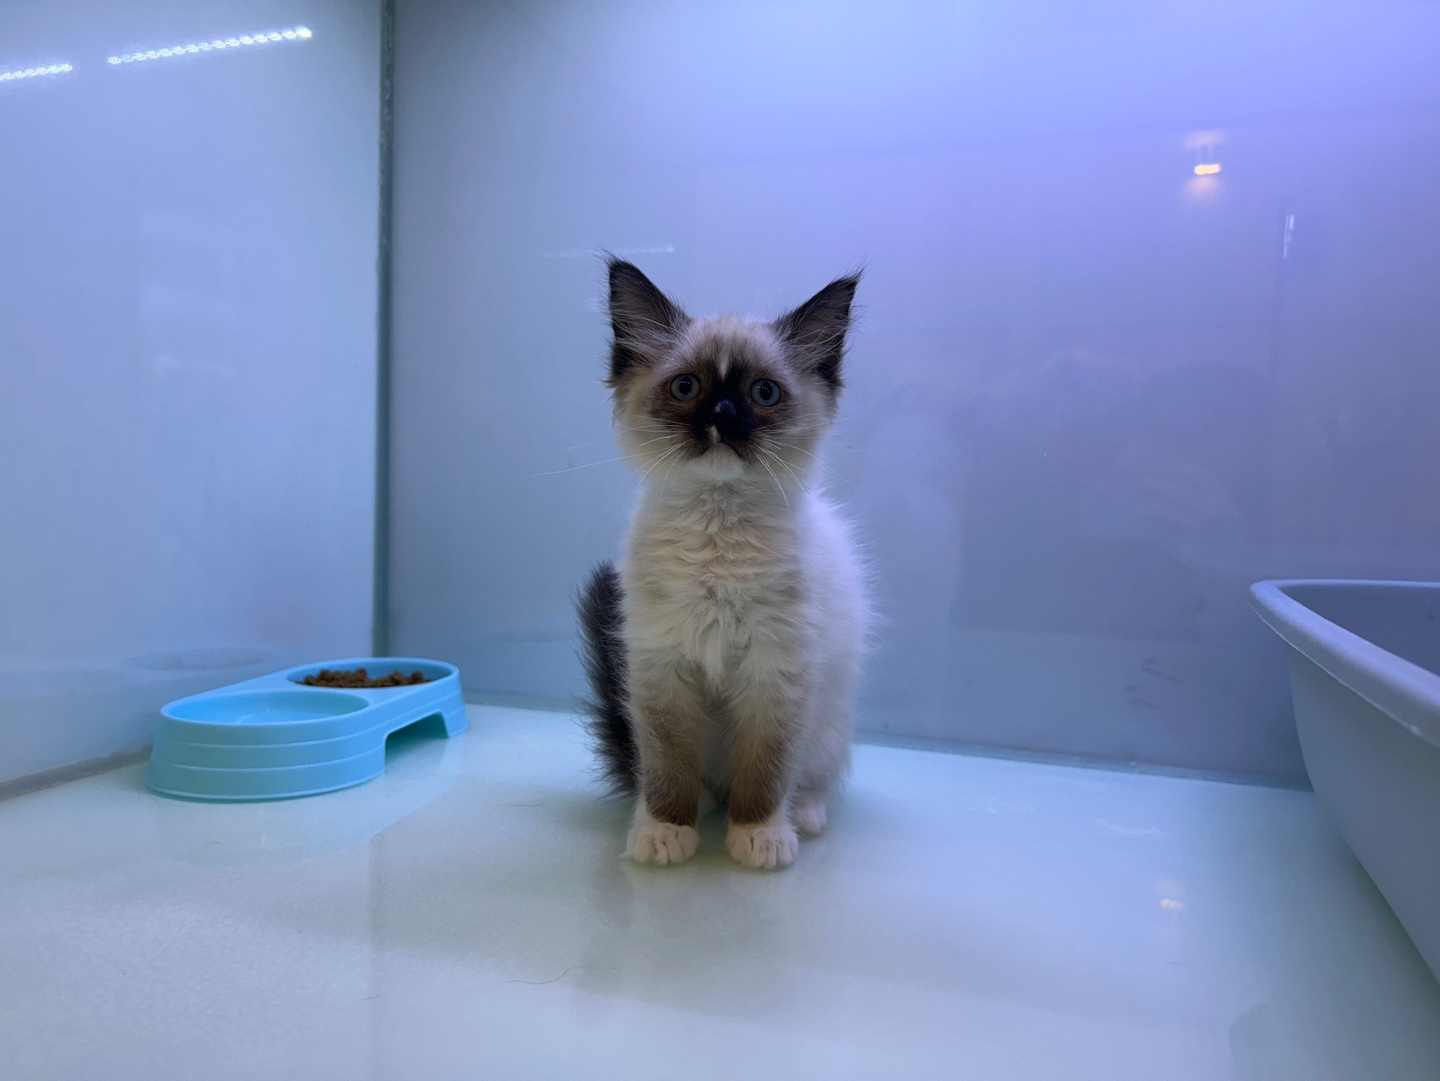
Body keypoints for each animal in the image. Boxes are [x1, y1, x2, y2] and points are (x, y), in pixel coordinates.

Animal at [578, 258, 867, 870]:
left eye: (764, 393)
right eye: (687, 387)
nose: (723, 418)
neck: (717, 536)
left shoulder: (776, 675)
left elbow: (766, 770)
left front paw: (758, 836)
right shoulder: (661, 672)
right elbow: (667, 767)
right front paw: (666, 831)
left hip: (828, 724)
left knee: (806, 777)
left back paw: (802, 815)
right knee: (689, 780)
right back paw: (686, 810)